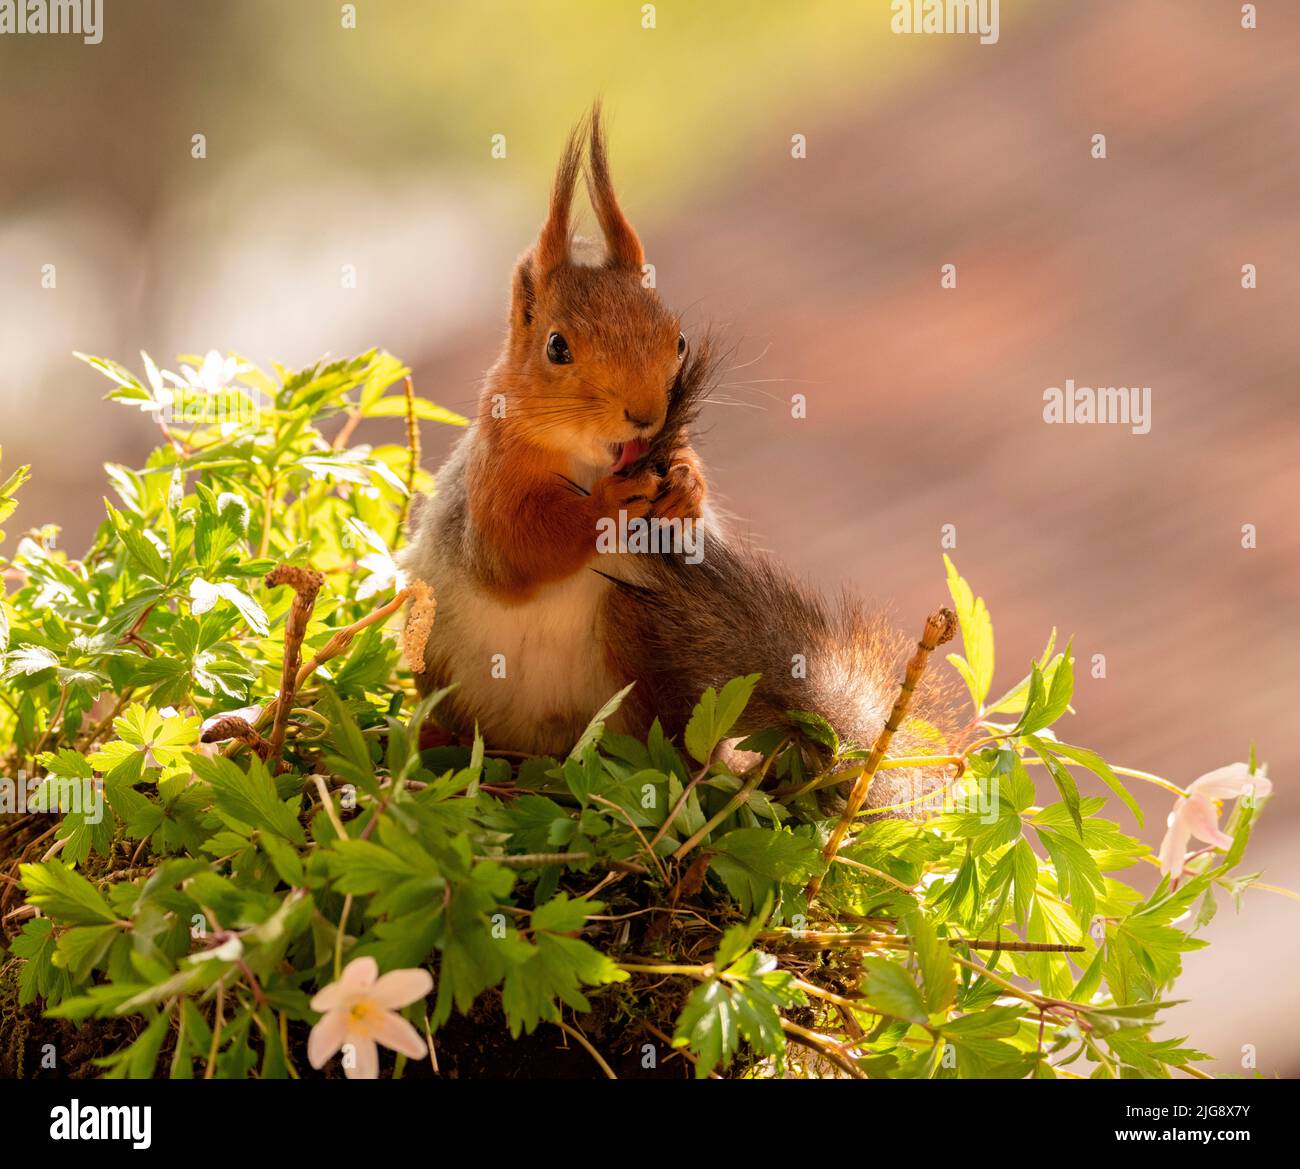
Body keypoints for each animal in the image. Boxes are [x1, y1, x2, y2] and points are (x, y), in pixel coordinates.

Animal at [398, 107, 953, 811]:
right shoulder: (488, 485)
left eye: (679, 339)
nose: (645, 415)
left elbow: (687, 505)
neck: (593, 462)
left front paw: (685, 487)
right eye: (556, 347)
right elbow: (514, 551)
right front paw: (603, 510)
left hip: (641, 638)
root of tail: (540, 757)